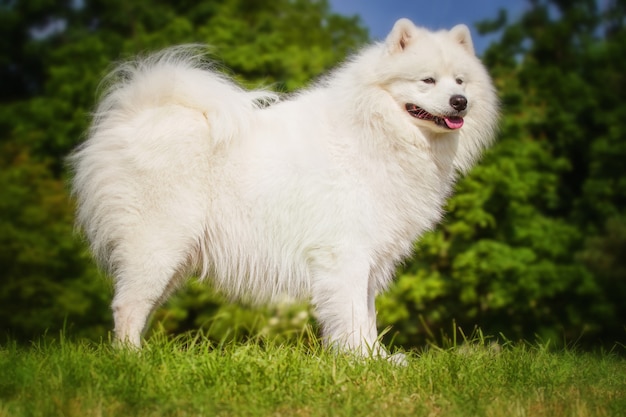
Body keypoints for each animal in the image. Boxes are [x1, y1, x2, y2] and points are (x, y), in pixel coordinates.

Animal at [68, 19, 498, 356]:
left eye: (461, 81)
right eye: (427, 80)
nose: (459, 101)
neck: (375, 129)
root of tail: (136, 114)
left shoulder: (371, 258)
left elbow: (368, 315)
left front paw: (378, 360)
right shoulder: (345, 253)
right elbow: (352, 315)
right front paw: (362, 362)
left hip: (174, 256)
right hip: (157, 242)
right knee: (126, 306)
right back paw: (131, 361)